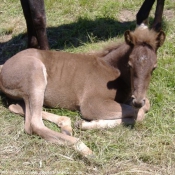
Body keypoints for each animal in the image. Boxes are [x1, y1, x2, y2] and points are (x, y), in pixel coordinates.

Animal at [0, 27, 165, 156]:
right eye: (130, 65)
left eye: (154, 67)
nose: (138, 101)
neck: (112, 70)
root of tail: (3, 66)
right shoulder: (92, 103)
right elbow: (140, 114)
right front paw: (86, 123)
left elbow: (145, 106)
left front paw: (85, 124)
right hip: (35, 75)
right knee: (33, 124)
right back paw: (82, 148)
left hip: (27, 93)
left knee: (17, 107)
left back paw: (65, 125)